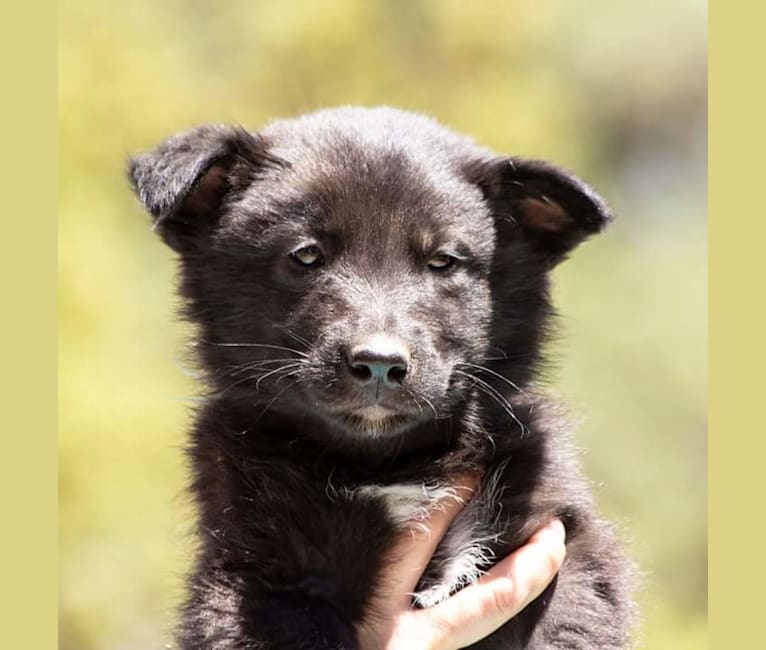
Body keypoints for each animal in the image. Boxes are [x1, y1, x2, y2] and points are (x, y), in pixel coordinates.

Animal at [130, 107, 636, 648]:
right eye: (305, 255)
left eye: (442, 261)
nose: (378, 363)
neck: (384, 466)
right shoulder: (261, 575)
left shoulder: (558, 538)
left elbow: (565, 623)